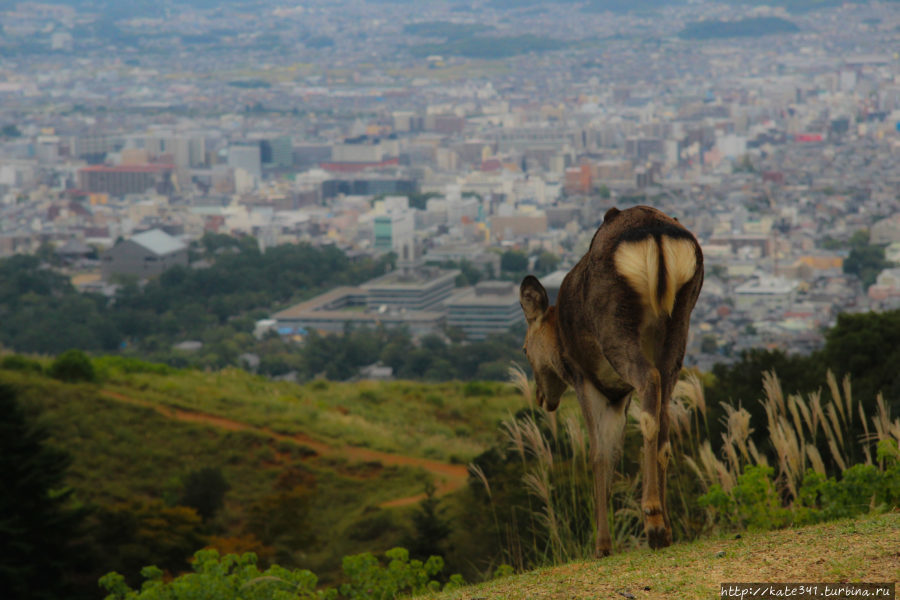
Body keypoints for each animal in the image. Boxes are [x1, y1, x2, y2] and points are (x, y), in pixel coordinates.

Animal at [516, 204, 708, 556]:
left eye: (524, 349)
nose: (541, 398)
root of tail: (656, 236)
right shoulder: (620, 396)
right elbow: (615, 453)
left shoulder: (587, 381)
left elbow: (599, 454)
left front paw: (603, 544)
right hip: (681, 322)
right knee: (664, 419)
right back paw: (666, 529)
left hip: (615, 327)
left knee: (649, 385)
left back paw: (653, 520)